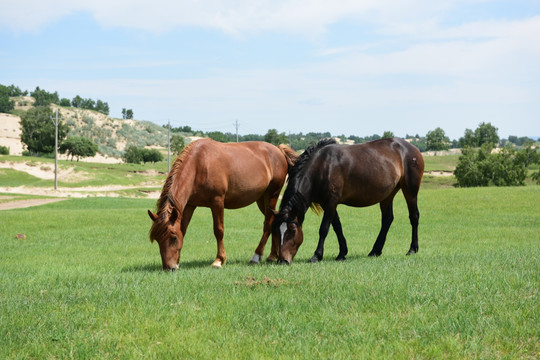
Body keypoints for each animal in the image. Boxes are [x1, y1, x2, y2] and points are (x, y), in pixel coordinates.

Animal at [150, 139, 298, 268]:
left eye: (173, 237)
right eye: (157, 239)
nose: (169, 267)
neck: (199, 164)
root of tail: (278, 150)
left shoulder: (217, 202)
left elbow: (218, 230)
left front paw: (219, 260)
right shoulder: (190, 205)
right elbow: (184, 229)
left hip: (271, 195)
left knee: (267, 224)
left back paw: (256, 256)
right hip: (261, 200)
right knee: (274, 221)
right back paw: (272, 255)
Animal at [272, 138, 424, 264]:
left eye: (292, 231)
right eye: (277, 231)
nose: (282, 260)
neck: (322, 166)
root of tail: (413, 148)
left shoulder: (331, 202)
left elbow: (324, 229)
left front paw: (317, 255)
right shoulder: (327, 203)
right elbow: (337, 227)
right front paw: (342, 253)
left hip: (410, 190)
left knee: (414, 216)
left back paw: (412, 249)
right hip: (387, 195)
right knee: (387, 219)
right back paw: (375, 250)